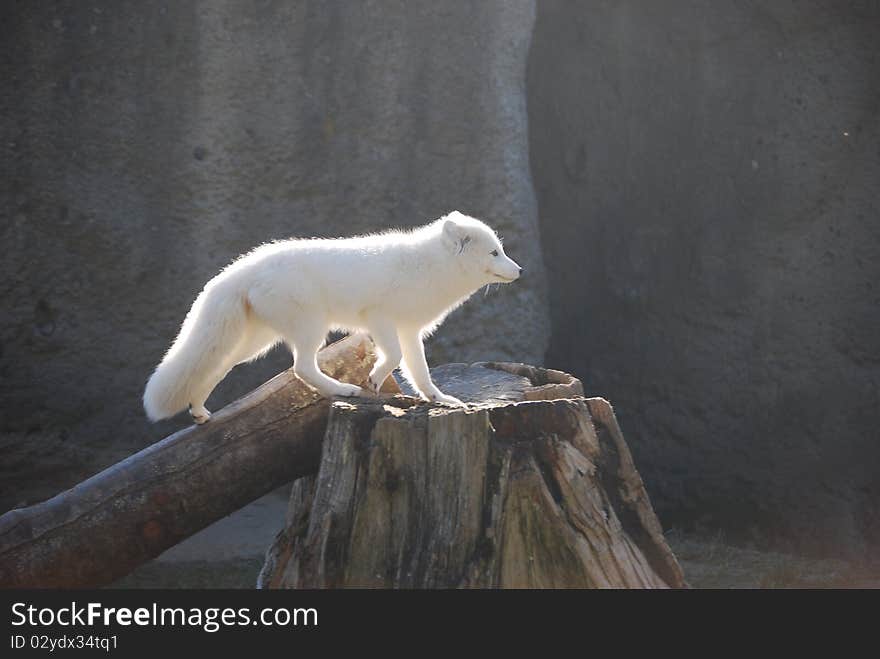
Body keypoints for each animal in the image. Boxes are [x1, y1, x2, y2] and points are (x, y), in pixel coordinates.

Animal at [141, 211, 520, 422]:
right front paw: (373, 379)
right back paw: (344, 390)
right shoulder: (380, 318)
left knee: (216, 366)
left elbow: (420, 372)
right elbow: (394, 356)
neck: (429, 266)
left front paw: (439, 400)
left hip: (255, 343)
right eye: (494, 252)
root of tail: (244, 266)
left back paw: (199, 411)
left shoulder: (409, 330)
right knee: (300, 368)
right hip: (311, 328)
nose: (520, 270)